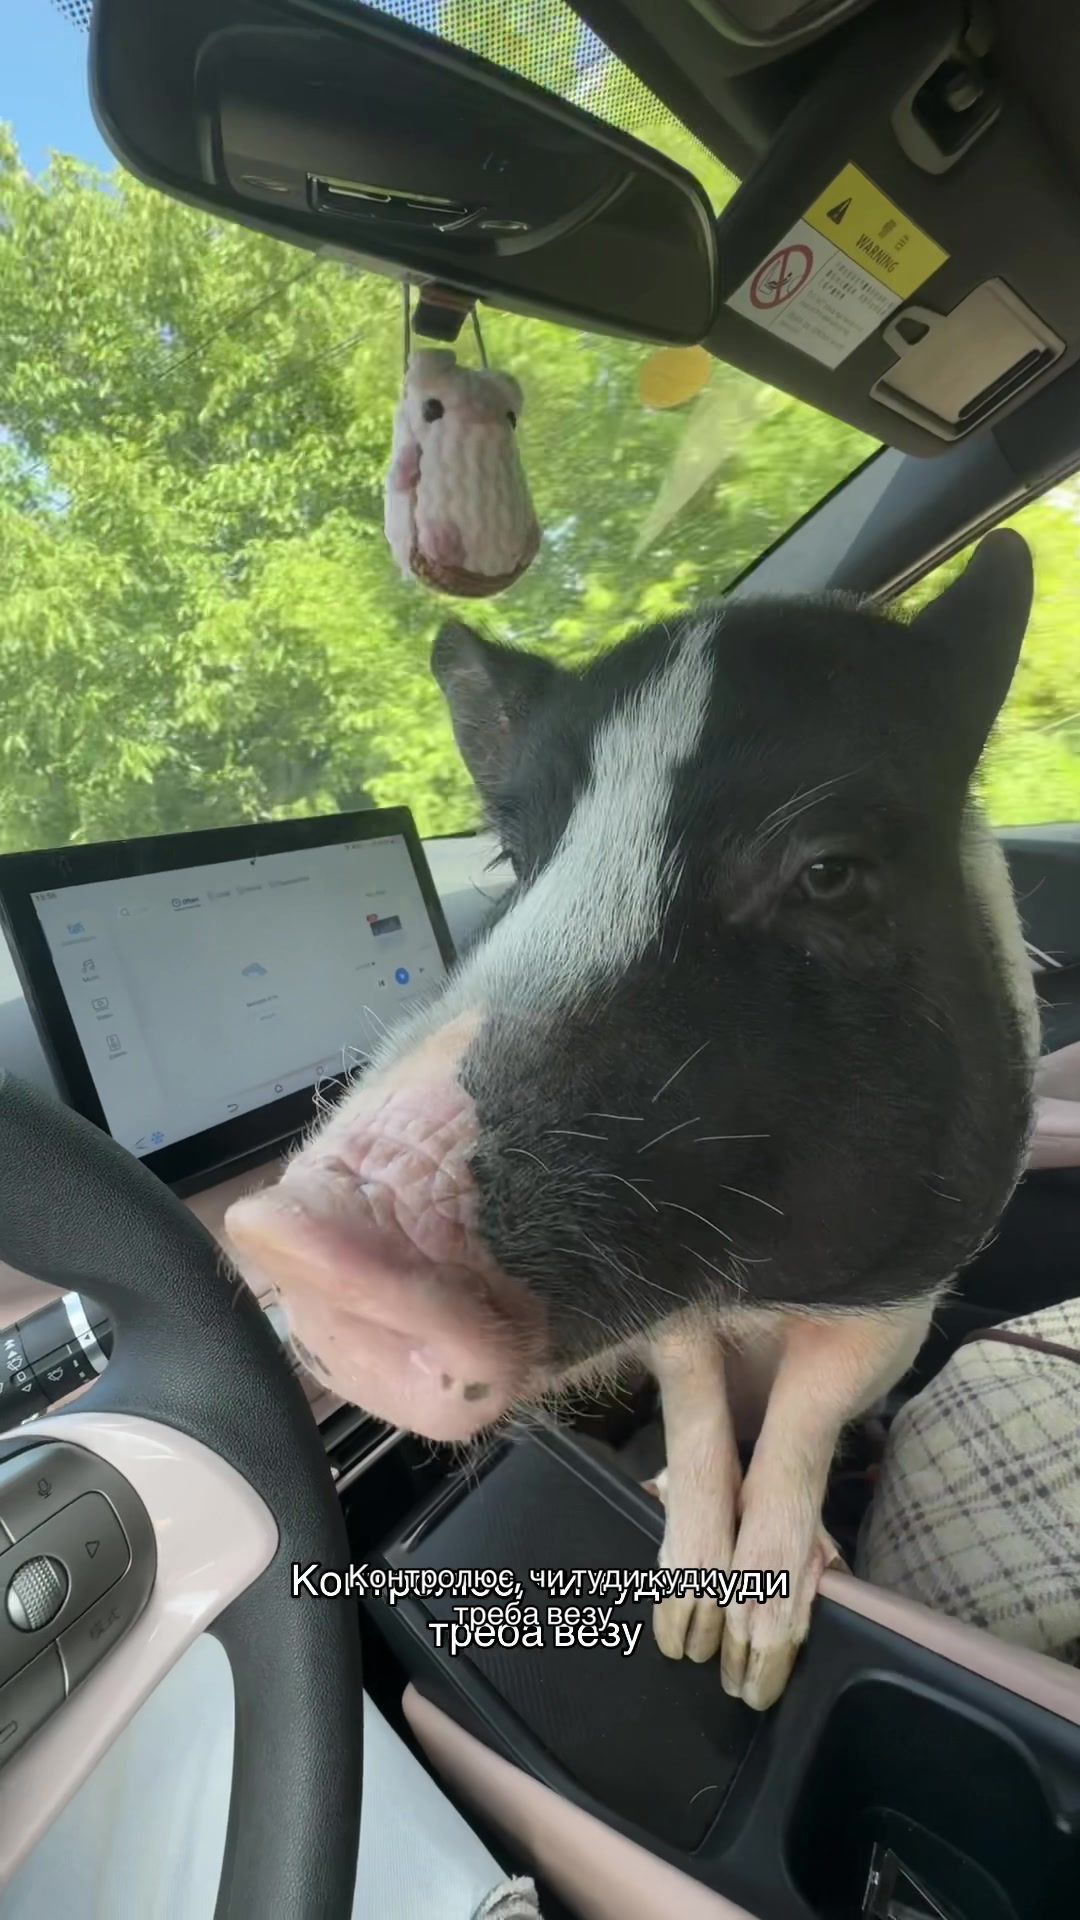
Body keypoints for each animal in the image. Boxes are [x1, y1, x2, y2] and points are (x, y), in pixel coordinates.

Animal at [226, 530, 1040, 1711]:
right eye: (512, 862)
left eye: (828, 871)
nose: (302, 1236)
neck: (750, 1280)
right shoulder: (675, 1324)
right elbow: (696, 1402)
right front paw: (683, 1632)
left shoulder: (915, 1279)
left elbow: (804, 1418)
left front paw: (749, 1673)